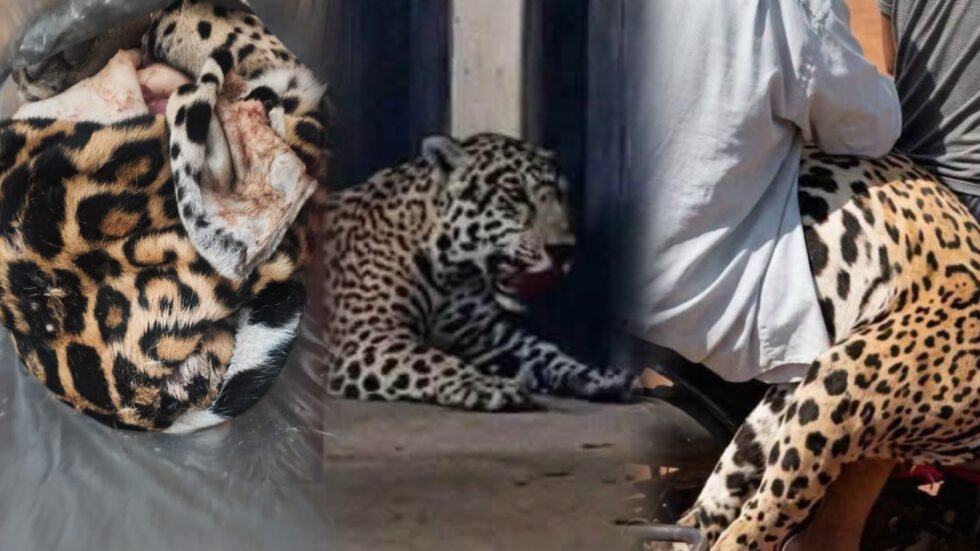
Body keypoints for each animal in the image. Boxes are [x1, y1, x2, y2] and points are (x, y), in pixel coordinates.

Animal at [320, 133, 634, 411]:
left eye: (561, 197)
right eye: (517, 197)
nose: (565, 250)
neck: (453, 275)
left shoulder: (488, 336)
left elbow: (547, 351)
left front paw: (596, 375)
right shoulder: (366, 336)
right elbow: (429, 359)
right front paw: (486, 385)